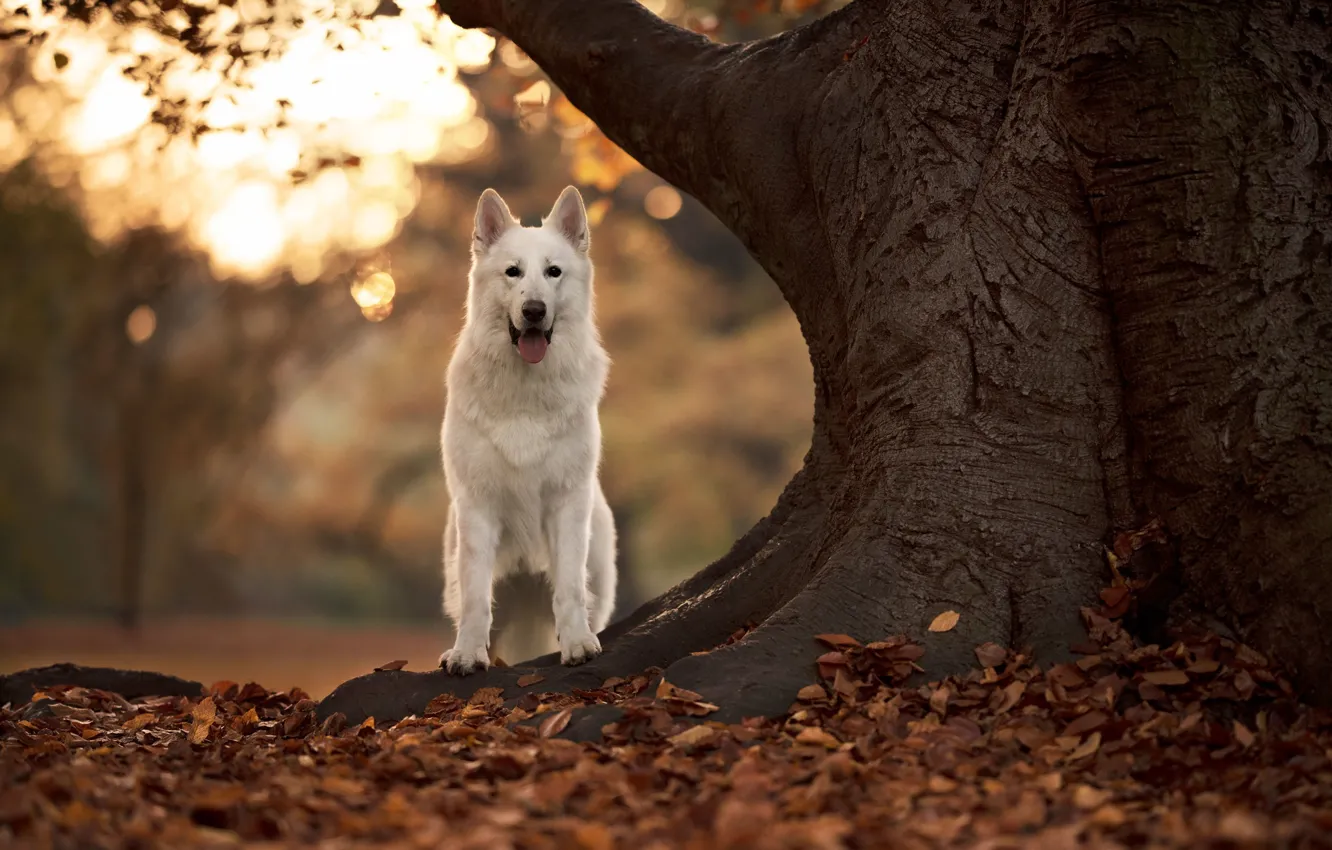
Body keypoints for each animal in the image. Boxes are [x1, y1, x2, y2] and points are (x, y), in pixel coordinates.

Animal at [442, 187, 618, 679]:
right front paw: (467, 653)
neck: (524, 390)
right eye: (513, 272)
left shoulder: (566, 502)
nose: (534, 310)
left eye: (553, 271)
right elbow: (476, 598)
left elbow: (570, 588)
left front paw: (577, 644)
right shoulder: (477, 508)